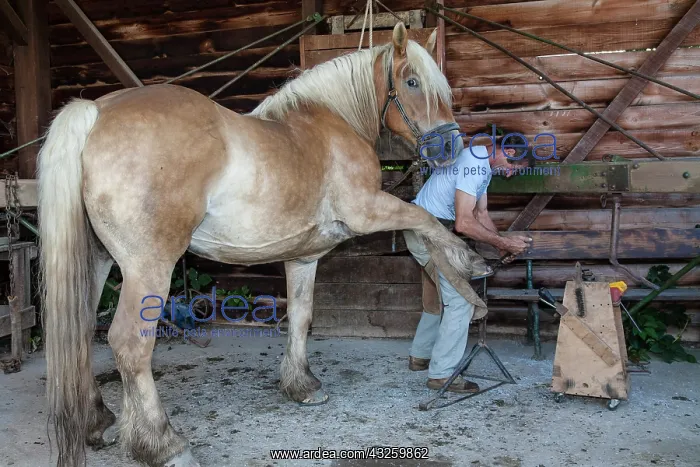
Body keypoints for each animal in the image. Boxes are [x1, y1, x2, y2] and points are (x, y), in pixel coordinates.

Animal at [38, 23, 474, 467]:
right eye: (412, 82)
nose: (451, 147)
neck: (334, 124)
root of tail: (96, 113)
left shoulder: (303, 258)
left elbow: (300, 316)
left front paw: (302, 385)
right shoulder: (369, 210)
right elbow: (424, 218)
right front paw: (466, 260)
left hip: (98, 262)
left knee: (82, 330)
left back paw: (99, 421)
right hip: (148, 268)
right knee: (130, 344)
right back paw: (163, 444)